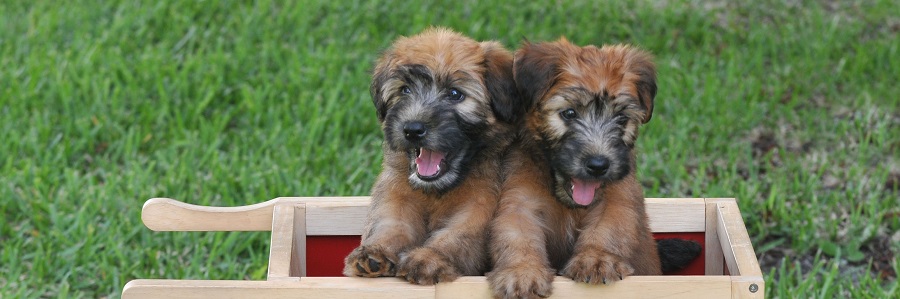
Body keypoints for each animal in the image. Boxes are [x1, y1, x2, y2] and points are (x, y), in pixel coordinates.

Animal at [342, 28, 516, 286]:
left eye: (455, 94)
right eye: (405, 90)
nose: (412, 129)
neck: (436, 191)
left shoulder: (480, 204)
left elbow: (458, 235)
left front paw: (428, 258)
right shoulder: (396, 195)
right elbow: (391, 224)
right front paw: (376, 251)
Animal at [486, 39, 660, 299]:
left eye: (621, 119)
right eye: (569, 113)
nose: (598, 165)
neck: (568, 206)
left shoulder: (619, 197)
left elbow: (609, 226)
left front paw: (596, 260)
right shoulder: (520, 200)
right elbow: (518, 234)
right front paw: (522, 272)